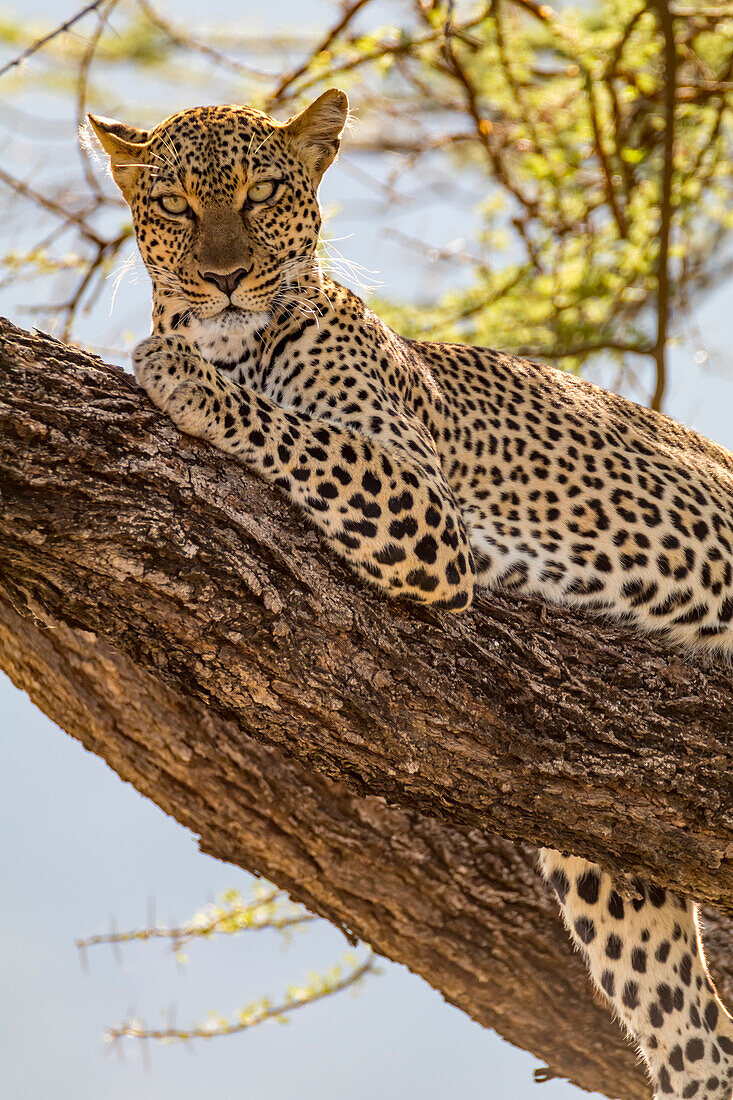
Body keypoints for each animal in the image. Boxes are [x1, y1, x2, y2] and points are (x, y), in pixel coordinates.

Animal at [88, 90, 730, 1095]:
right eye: (175, 207)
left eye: (261, 193)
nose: (225, 279)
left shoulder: (420, 505)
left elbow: (292, 430)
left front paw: (171, 368)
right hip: (613, 871)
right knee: (693, 1038)